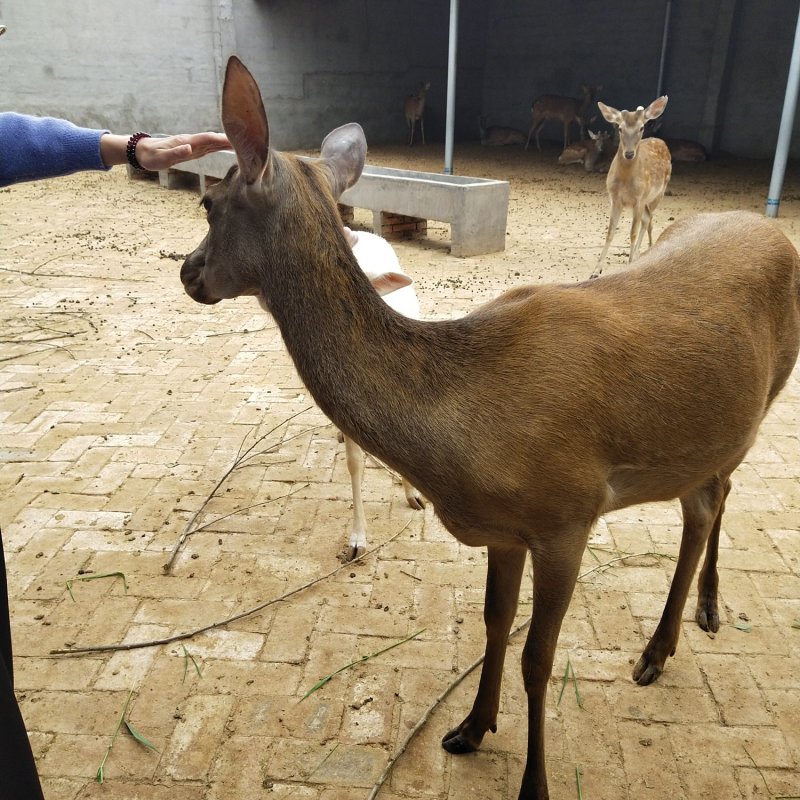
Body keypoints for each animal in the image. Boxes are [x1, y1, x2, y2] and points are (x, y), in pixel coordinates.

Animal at [592, 96, 672, 278]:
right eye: (620, 128)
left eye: (641, 127)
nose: (629, 154)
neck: (625, 182)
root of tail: (661, 141)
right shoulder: (614, 199)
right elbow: (610, 232)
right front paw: (596, 270)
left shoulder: (639, 199)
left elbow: (632, 233)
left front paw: (630, 263)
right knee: (647, 218)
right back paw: (638, 254)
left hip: (658, 194)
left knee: (648, 220)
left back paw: (643, 252)